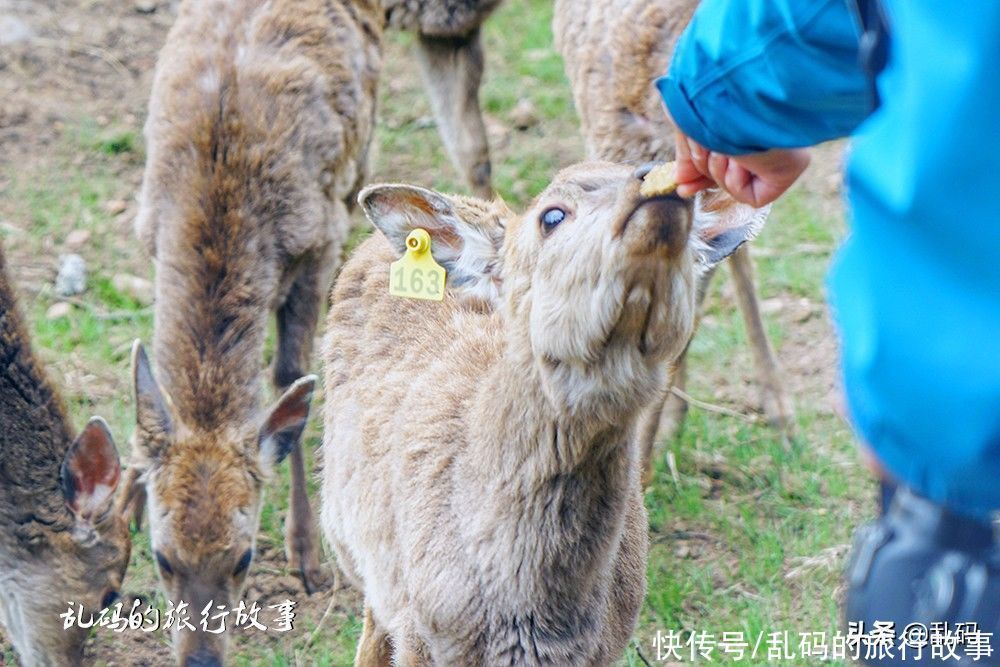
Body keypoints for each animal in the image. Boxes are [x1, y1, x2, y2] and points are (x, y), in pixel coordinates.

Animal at [119, 0, 380, 660]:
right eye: (162, 558)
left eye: (242, 559)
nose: (200, 662)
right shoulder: (148, 231)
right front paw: (126, 498)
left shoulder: (316, 241)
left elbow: (289, 374)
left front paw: (308, 556)